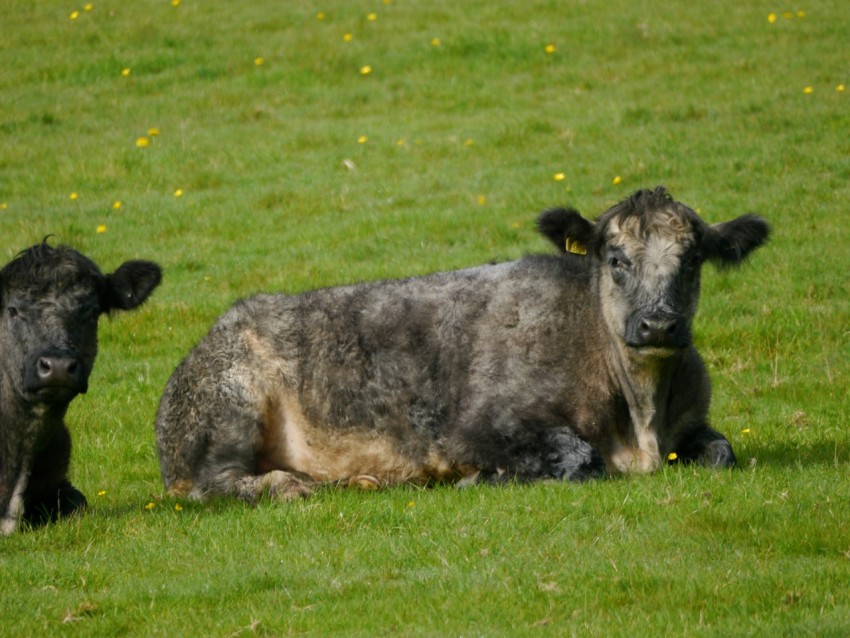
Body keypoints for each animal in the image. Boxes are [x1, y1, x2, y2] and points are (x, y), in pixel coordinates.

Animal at [154, 188, 768, 502]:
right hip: (231, 406)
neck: (640, 419)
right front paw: (481, 477)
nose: (659, 325)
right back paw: (289, 485)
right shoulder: (473, 427)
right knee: (213, 484)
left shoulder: (692, 421)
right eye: (616, 260)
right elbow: (578, 456)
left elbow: (722, 452)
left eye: (693, 259)